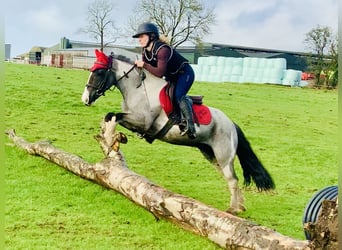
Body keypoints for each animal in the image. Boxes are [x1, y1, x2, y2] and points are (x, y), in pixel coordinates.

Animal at [81, 49, 276, 213]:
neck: (139, 89)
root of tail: (232, 124)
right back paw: (240, 206)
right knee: (231, 178)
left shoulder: (143, 122)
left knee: (233, 179)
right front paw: (113, 137)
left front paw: (109, 139)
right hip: (210, 154)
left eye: (99, 72)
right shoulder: (135, 122)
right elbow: (109, 117)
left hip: (224, 155)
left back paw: (234, 209)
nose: (85, 99)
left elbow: (113, 116)